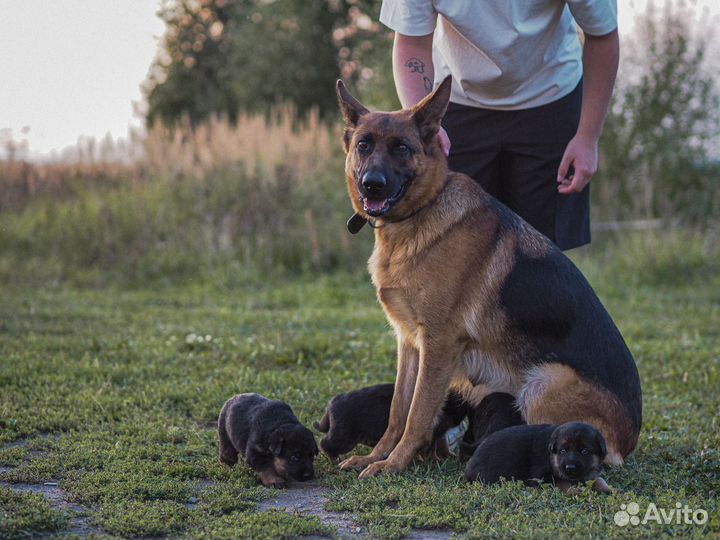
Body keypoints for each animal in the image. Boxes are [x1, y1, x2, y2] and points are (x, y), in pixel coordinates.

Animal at [314, 384, 466, 460]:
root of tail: (332, 404)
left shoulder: (439, 433)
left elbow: (441, 445)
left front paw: (447, 456)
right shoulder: (433, 432)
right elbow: (432, 448)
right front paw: (434, 461)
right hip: (345, 438)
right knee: (325, 443)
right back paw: (334, 459)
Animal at [464, 422, 612, 494]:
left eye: (585, 451)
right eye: (563, 450)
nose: (570, 468)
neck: (551, 456)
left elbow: (598, 479)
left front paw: (606, 488)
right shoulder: (541, 477)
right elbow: (562, 482)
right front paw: (575, 491)